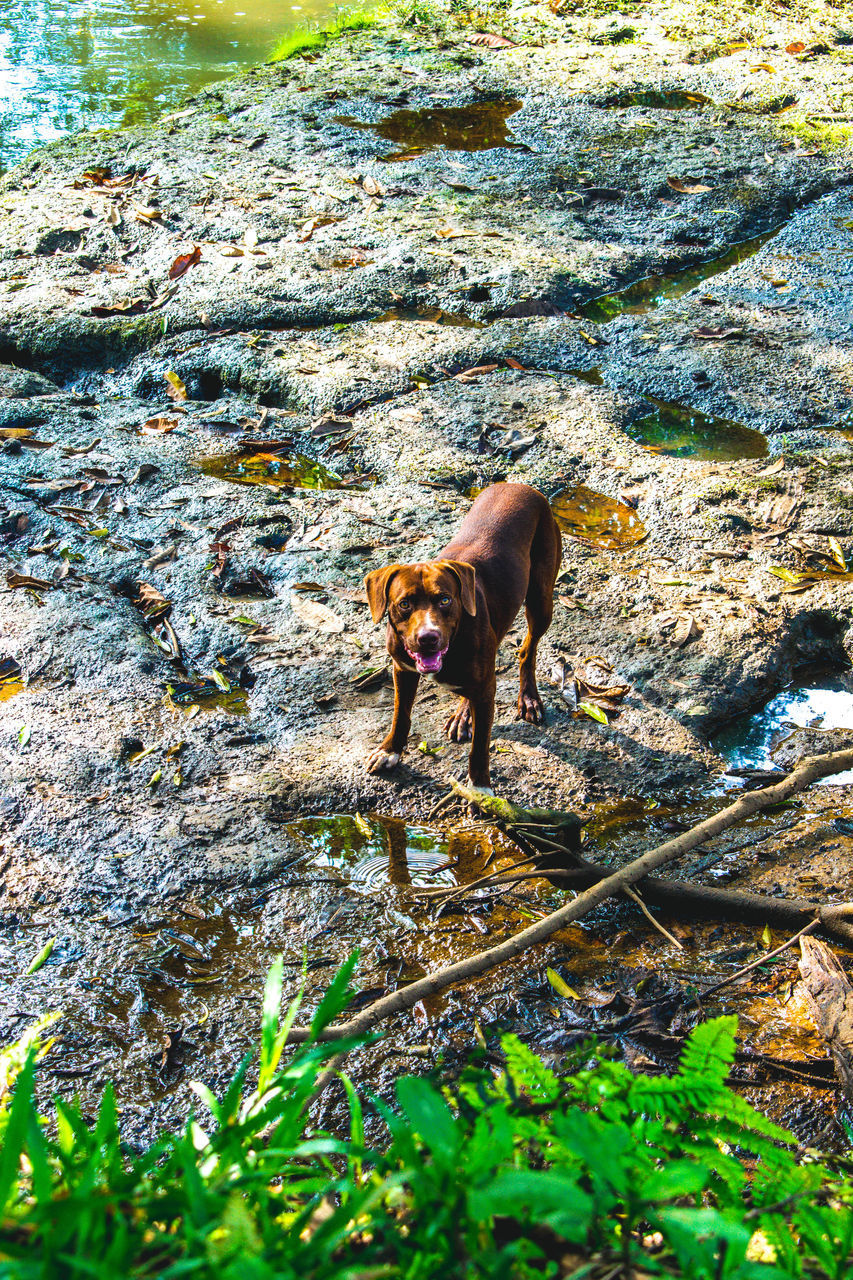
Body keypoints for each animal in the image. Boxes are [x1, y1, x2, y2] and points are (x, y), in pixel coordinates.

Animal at [363, 483, 558, 793]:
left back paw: (528, 698)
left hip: (541, 601)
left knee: (528, 650)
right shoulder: (402, 670)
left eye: (445, 599)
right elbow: (400, 715)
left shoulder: (486, 692)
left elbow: (480, 745)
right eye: (404, 604)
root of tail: (518, 485)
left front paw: (479, 787)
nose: (428, 638)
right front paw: (389, 751)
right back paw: (463, 714)